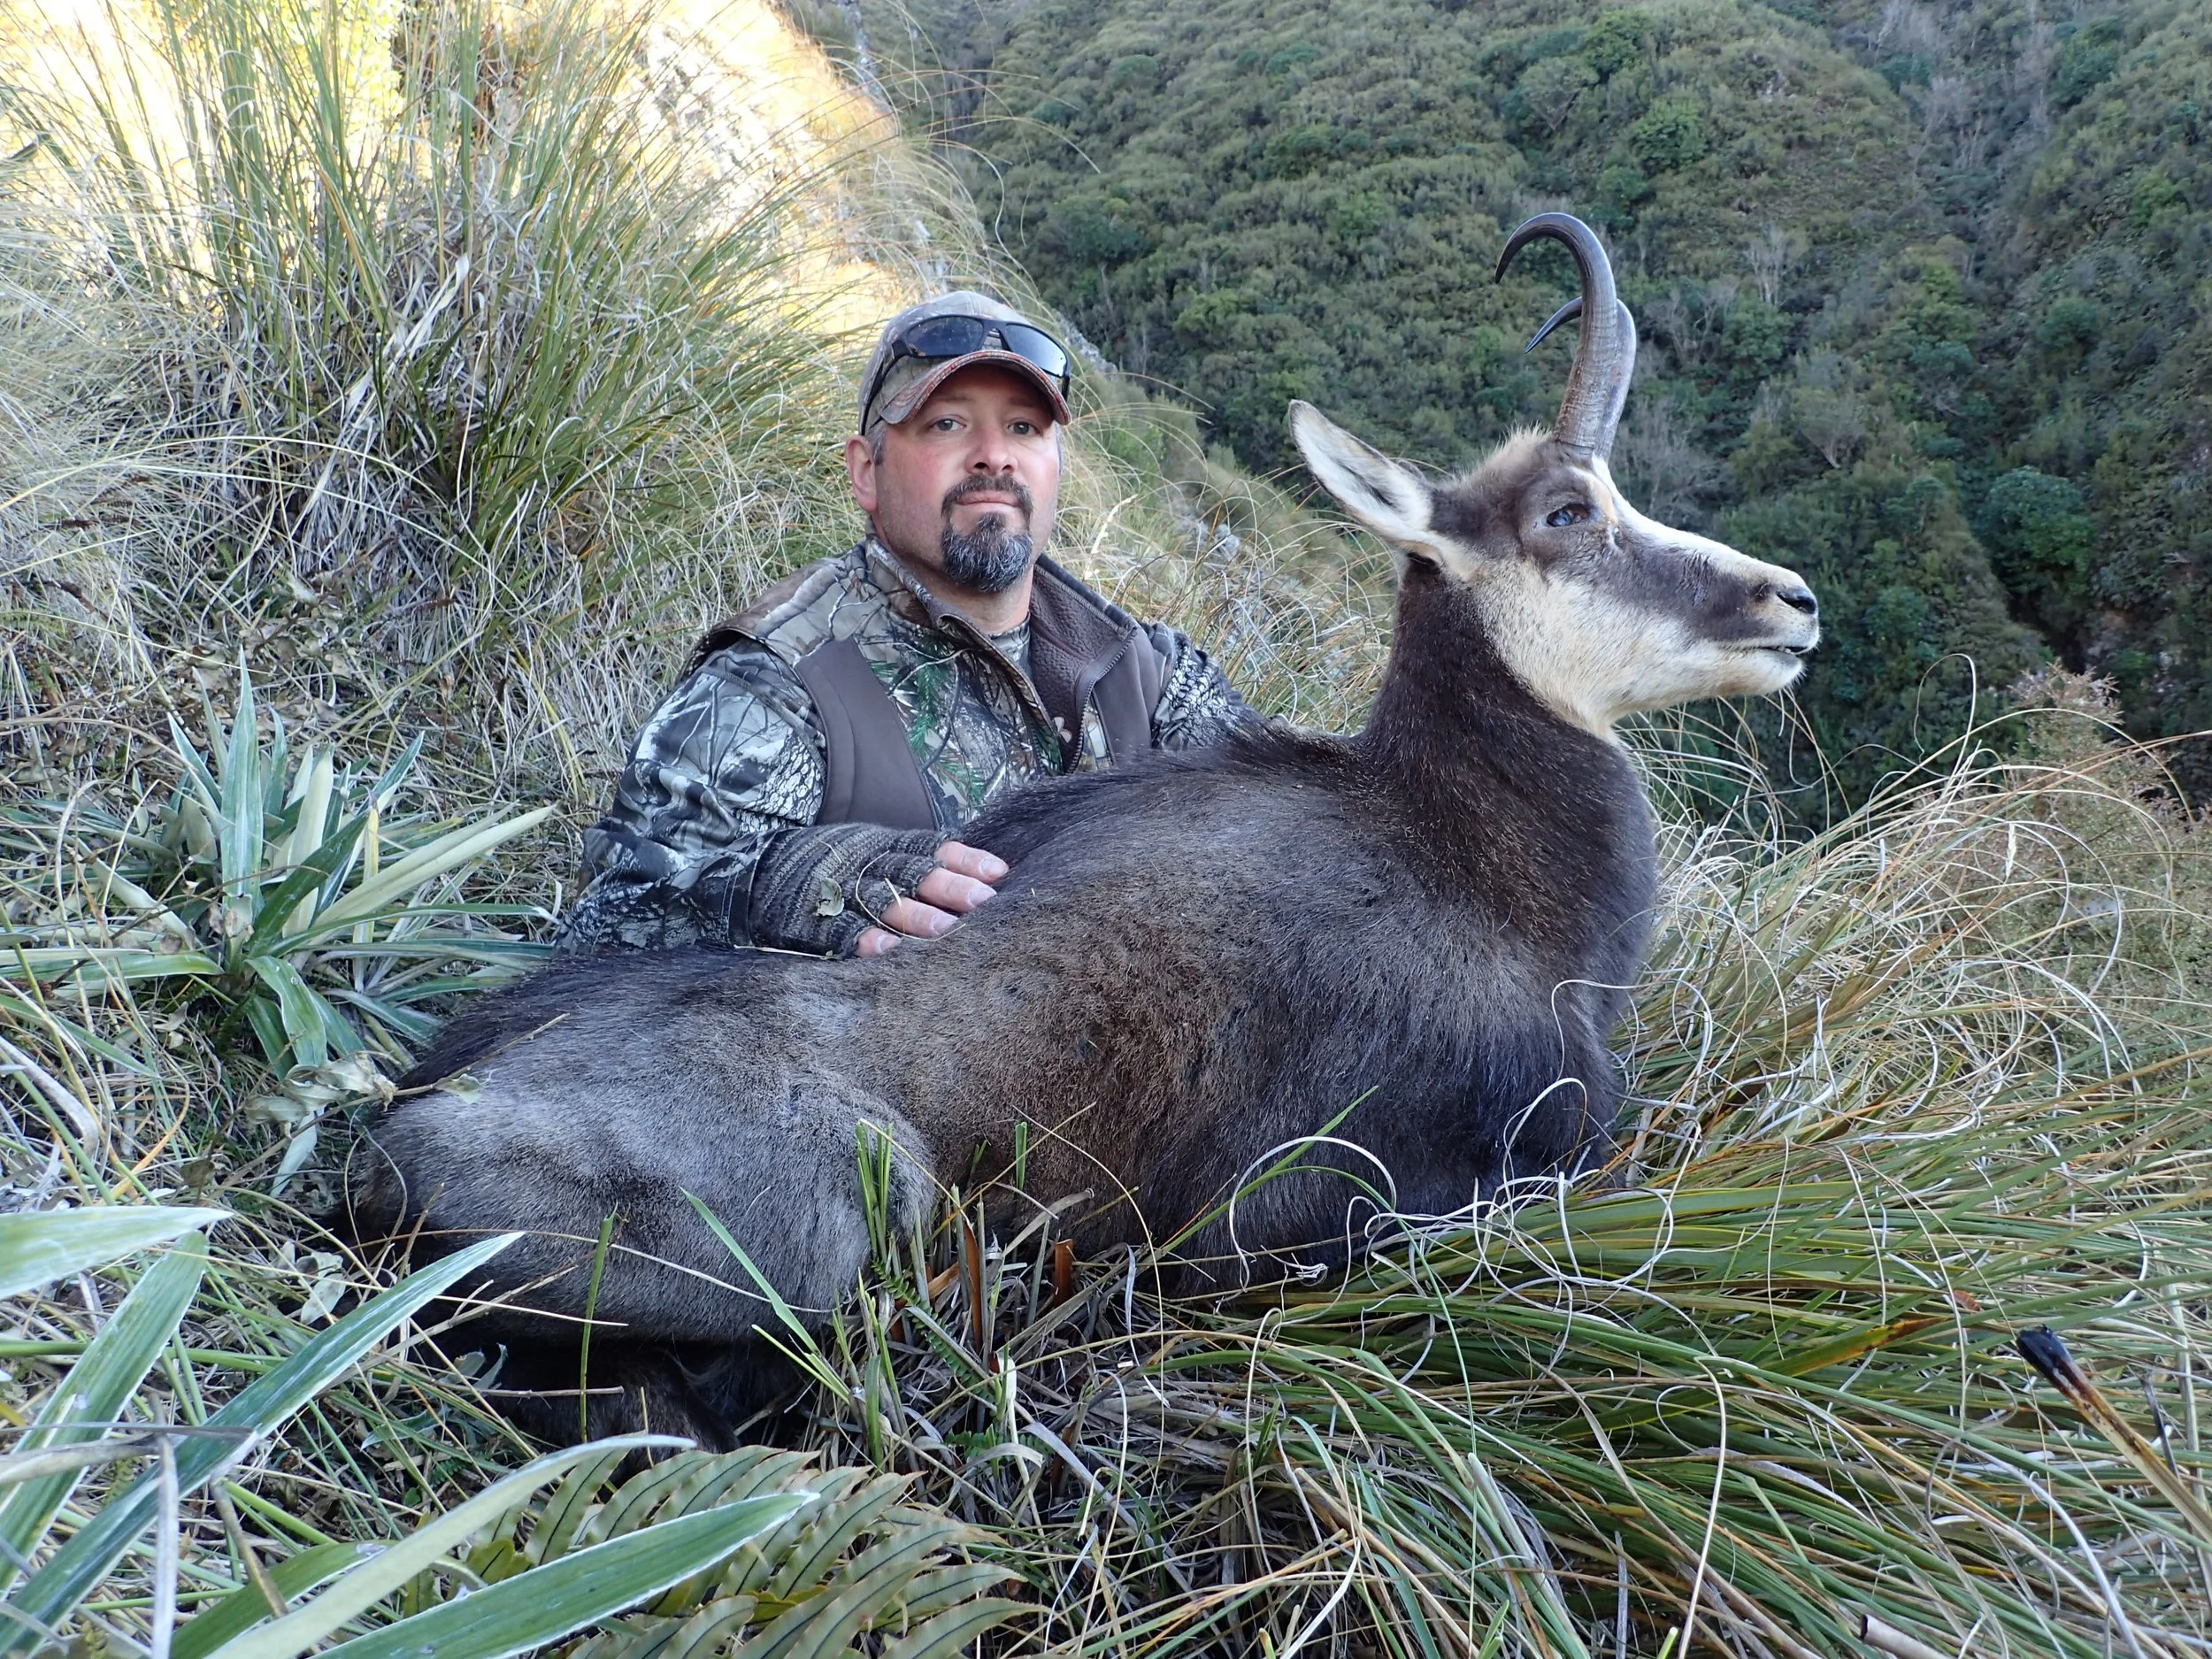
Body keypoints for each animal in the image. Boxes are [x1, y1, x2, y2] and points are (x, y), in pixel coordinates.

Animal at [351, 215, 1820, 1448]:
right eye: (1571, 513)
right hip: (843, 1209)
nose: (1790, 601)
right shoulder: (1310, 1202)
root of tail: (395, 1131)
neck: (1467, 861)